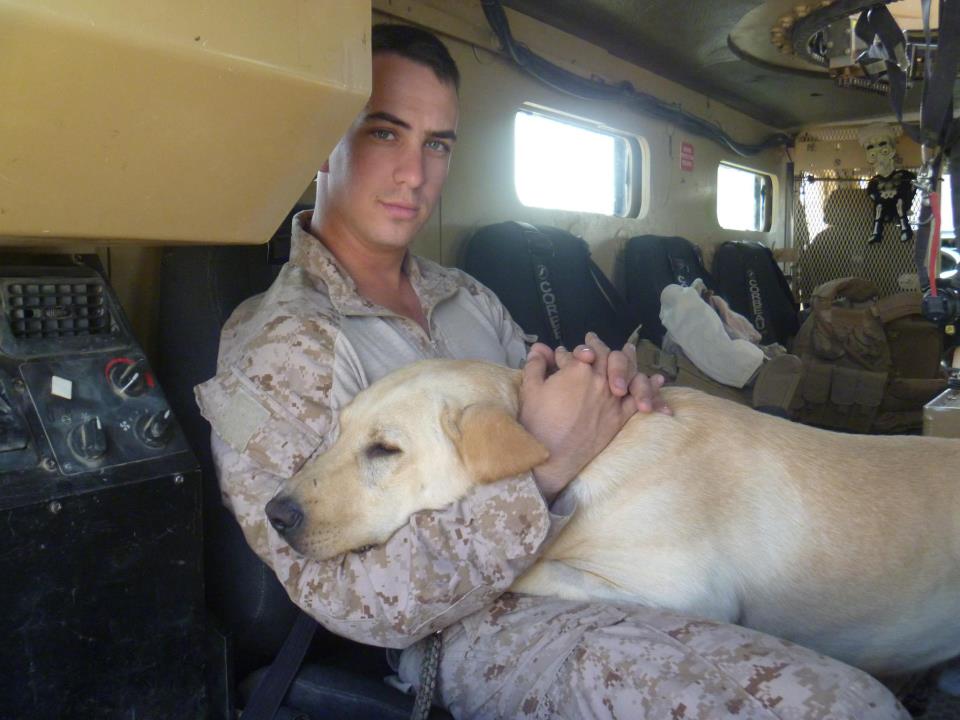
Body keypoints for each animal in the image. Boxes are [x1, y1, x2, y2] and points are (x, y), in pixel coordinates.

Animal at [266, 358, 960, 677]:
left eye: (384, 449)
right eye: (337, 430)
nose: (274, 513)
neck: (594, 458)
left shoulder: (690, 590)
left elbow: (534, 568)